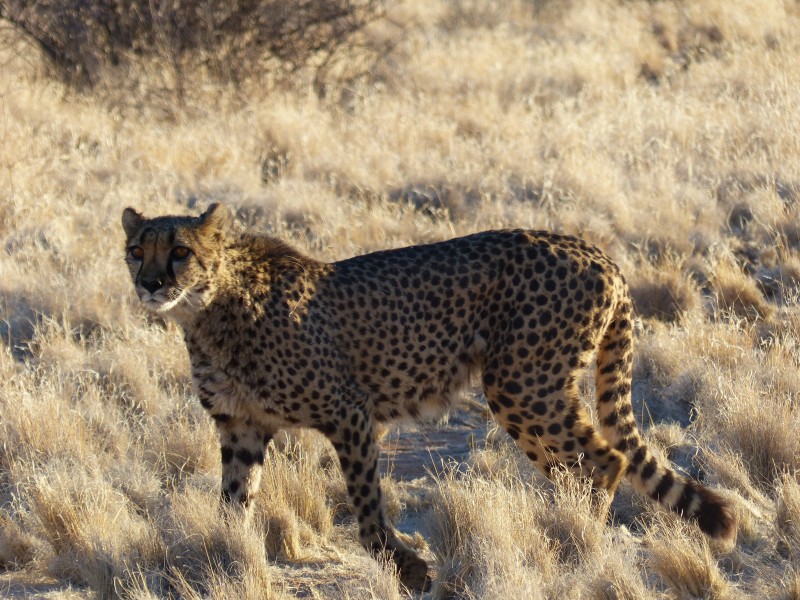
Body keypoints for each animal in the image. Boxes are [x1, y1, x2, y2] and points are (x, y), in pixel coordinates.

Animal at [122, 205, 740, 592]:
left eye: (179, 251)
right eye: (135, 250)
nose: (149, 284)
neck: (208, 309)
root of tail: (592, 248)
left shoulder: (349, 412)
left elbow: (367, 507)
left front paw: (408, 570)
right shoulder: (242, 427)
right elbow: (233, 504)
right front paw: (226, 562)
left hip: (521, 384)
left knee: (604, 459)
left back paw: (575, 543)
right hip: (530, 387)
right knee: (584, 462)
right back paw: (566, 531)